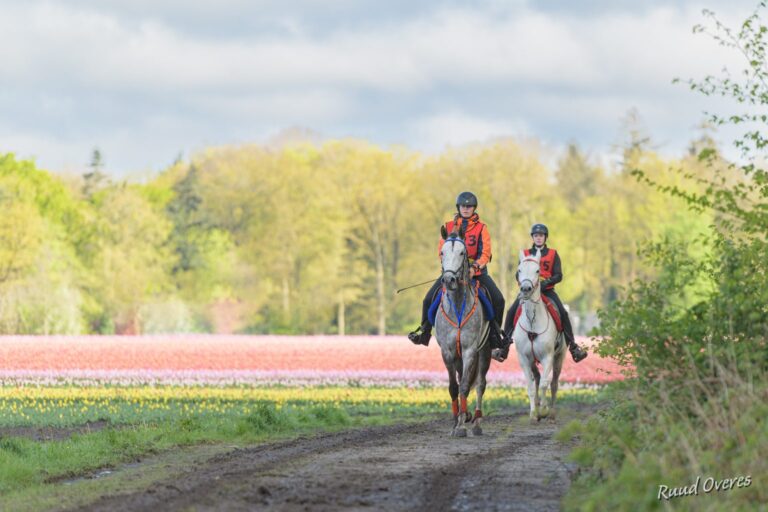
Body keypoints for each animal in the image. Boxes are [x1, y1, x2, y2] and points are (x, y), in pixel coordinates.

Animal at [435, 224, 492, 437]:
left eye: (461, 252)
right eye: (442, 252)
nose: (449, 279)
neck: (458, 305)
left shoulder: (469, 351)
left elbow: (465, 386)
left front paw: (461, 426)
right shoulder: (447, 352)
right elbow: (454, 387)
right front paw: (455, 422)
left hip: (485, 352)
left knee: (480, 384)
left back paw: (476, 422)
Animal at [512, 249, 566, 423]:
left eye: (538, 270)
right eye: (519, 270)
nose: (526, 289)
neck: (532, 321)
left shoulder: (547, 357)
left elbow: (544, 383)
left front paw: (543, 410)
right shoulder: (523, 358)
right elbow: (530, 386)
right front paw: (533, 413)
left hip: (559, 357)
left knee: (553, 383)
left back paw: (551, 413)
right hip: (532, 361)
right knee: (536, 378)